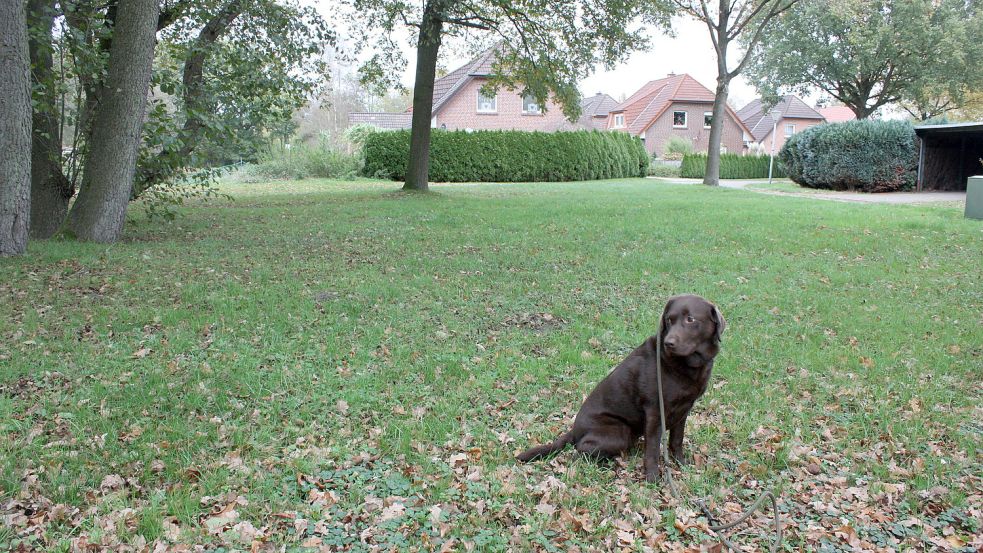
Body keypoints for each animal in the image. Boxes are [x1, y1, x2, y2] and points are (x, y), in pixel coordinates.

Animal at [520, 296, 728, 480]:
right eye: (669, 319)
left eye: (690, 319)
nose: (668, 343)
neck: (687, 365)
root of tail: (574, 430)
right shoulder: (655, 411)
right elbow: (653, 449)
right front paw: (652, 477)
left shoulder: (684, 410)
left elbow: (676, 440)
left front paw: (681, 464)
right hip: (620, 432)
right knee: (578, 452)